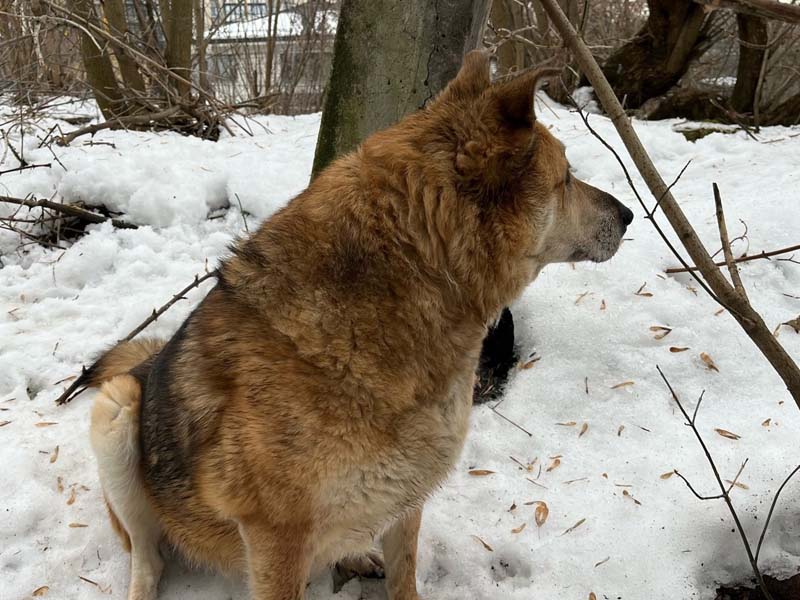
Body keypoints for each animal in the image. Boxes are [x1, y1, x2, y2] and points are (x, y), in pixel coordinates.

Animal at [83, 51, 632, 600]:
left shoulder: (407, 499)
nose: (629, 214)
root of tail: (148, 362)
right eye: (567, 179)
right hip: (117, 412)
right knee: (148, 557)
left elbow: (404, 578)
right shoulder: (275, 539)